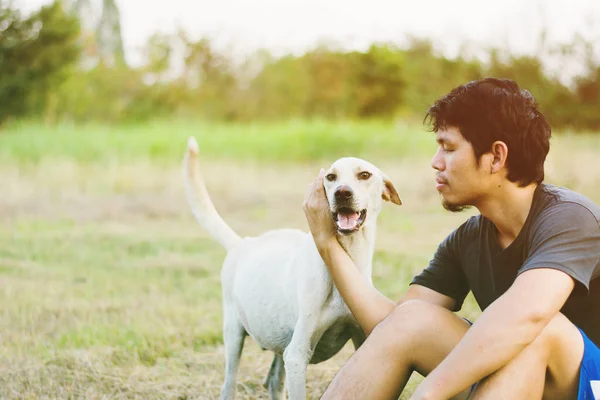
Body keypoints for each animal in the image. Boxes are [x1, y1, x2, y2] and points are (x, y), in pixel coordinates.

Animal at [180, 136, 400, 398]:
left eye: (364, 175)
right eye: (331, 177)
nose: (342, 193)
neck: (345, 261)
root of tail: (242, 243)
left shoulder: (363, 340)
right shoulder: (297, 355)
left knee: (273, 381)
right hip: (234, 336)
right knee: (229, 384)